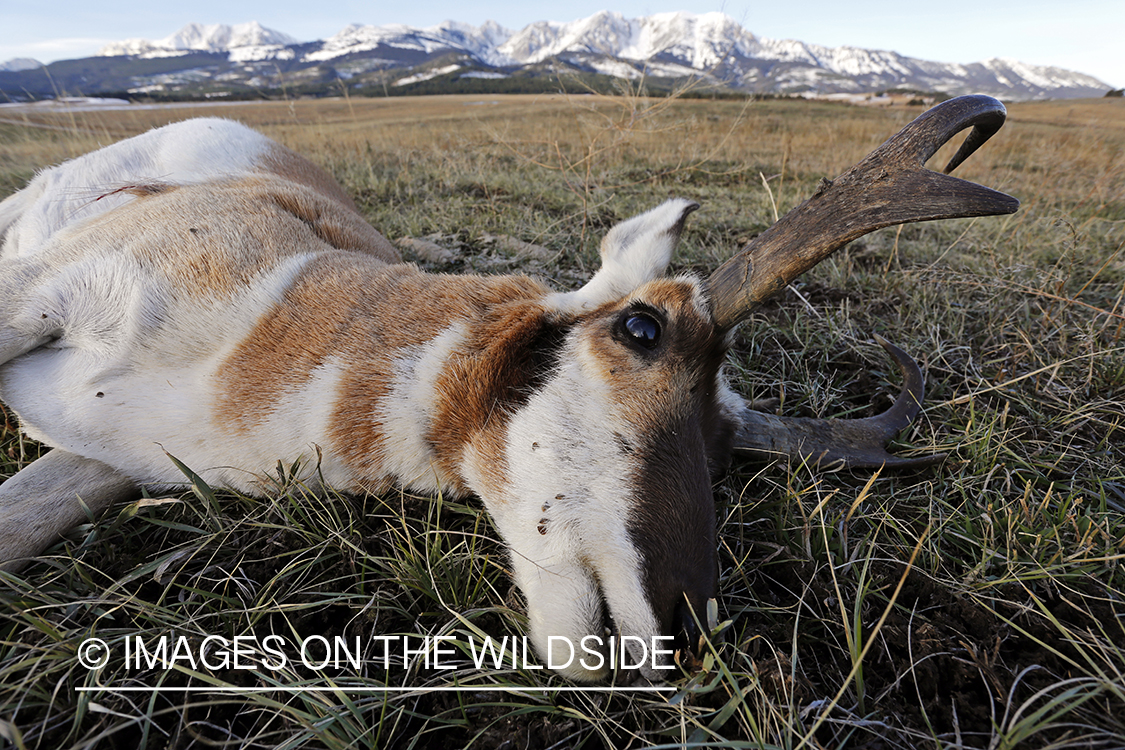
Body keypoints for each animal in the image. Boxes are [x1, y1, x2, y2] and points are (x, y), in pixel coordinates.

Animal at [0, 95, 1021, 679]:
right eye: (642, 328)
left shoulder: (107, 463)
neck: (293, 300)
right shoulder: (34, 299)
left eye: (727, 452)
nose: (687, 631)